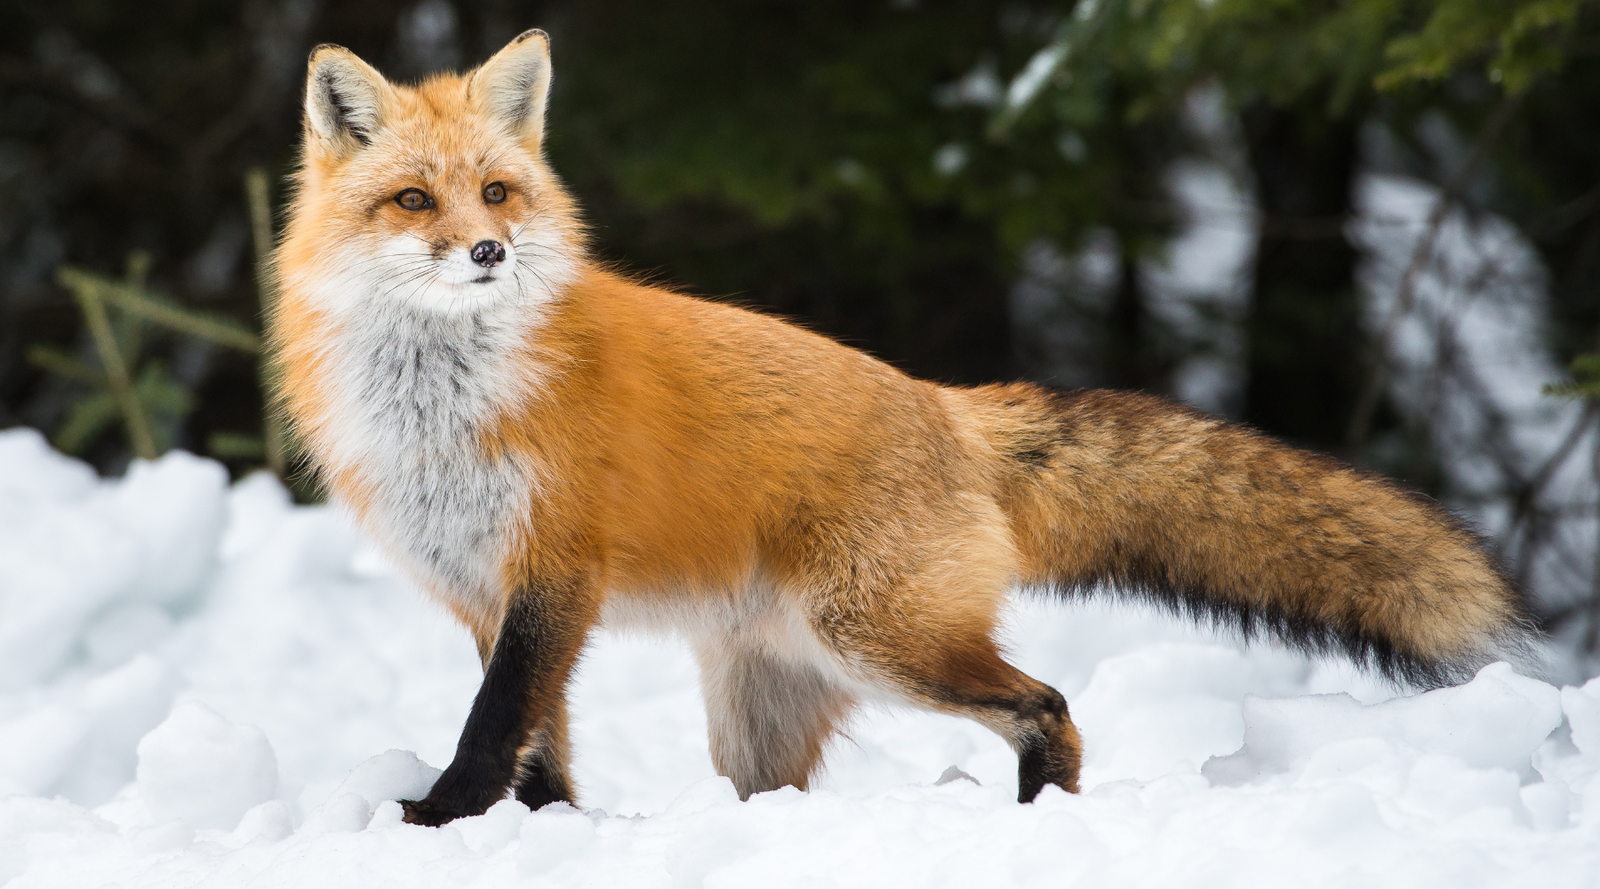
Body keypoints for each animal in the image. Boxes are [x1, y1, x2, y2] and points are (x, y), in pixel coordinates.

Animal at [271, 31, 1543, 826]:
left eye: (496, 193)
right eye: (413, 200)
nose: (489, 250)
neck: (445, 405)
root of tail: (946, 405)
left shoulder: (553, 574)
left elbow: (496, 727)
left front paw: (439, 818)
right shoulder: (484, 590)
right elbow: (539, 745)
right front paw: (542, 832)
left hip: (881, 639)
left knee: (1049, 706)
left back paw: (1040, 821)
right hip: (766, 706)